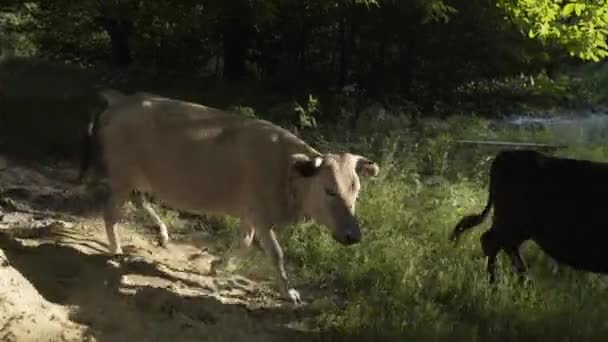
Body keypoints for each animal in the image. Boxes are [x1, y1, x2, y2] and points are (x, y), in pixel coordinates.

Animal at [448, 148, 608, 282]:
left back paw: (522, 277)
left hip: (516, 227)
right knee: (491, 241)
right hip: (513, 223)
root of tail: (506, 153)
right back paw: (497, 282)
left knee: (503, 245)